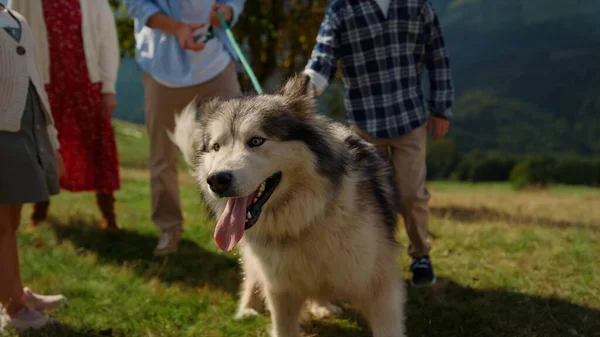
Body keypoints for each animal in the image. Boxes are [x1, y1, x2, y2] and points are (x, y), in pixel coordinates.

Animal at [170, 74, 408, 336]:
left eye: (256, 141)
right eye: (216, 147)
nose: (217, 180)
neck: (306, 222)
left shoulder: (380, 290)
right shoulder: (280, 292)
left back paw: (322, 306)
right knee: (251, 276)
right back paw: (247, 310)